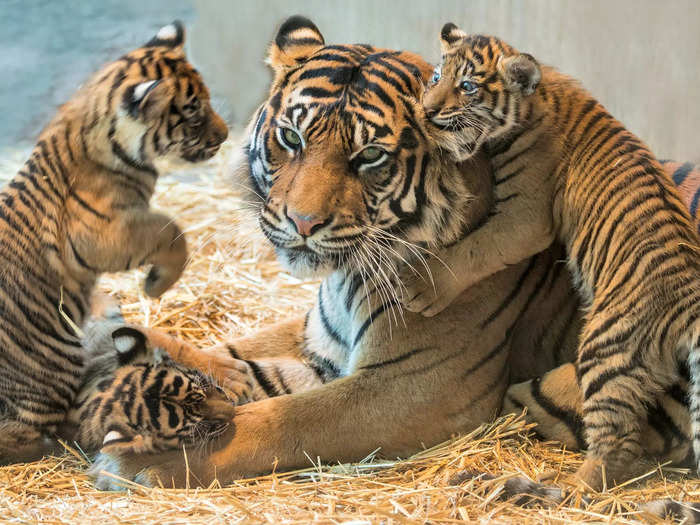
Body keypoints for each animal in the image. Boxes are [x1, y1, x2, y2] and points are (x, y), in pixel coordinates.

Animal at [0, 21, 238, 462]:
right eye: (194, 113)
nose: (225, 134)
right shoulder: (109, 233)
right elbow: (172, 230)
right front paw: (155, 286)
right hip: (58, 362)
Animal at [90, 16, 696, 492]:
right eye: (291, 138)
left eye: (370, 157)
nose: (302, 223)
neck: (346, 278)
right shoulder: (321, 342)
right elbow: (229, 358)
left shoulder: (414, 386)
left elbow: (284, 419)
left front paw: (148, 459)